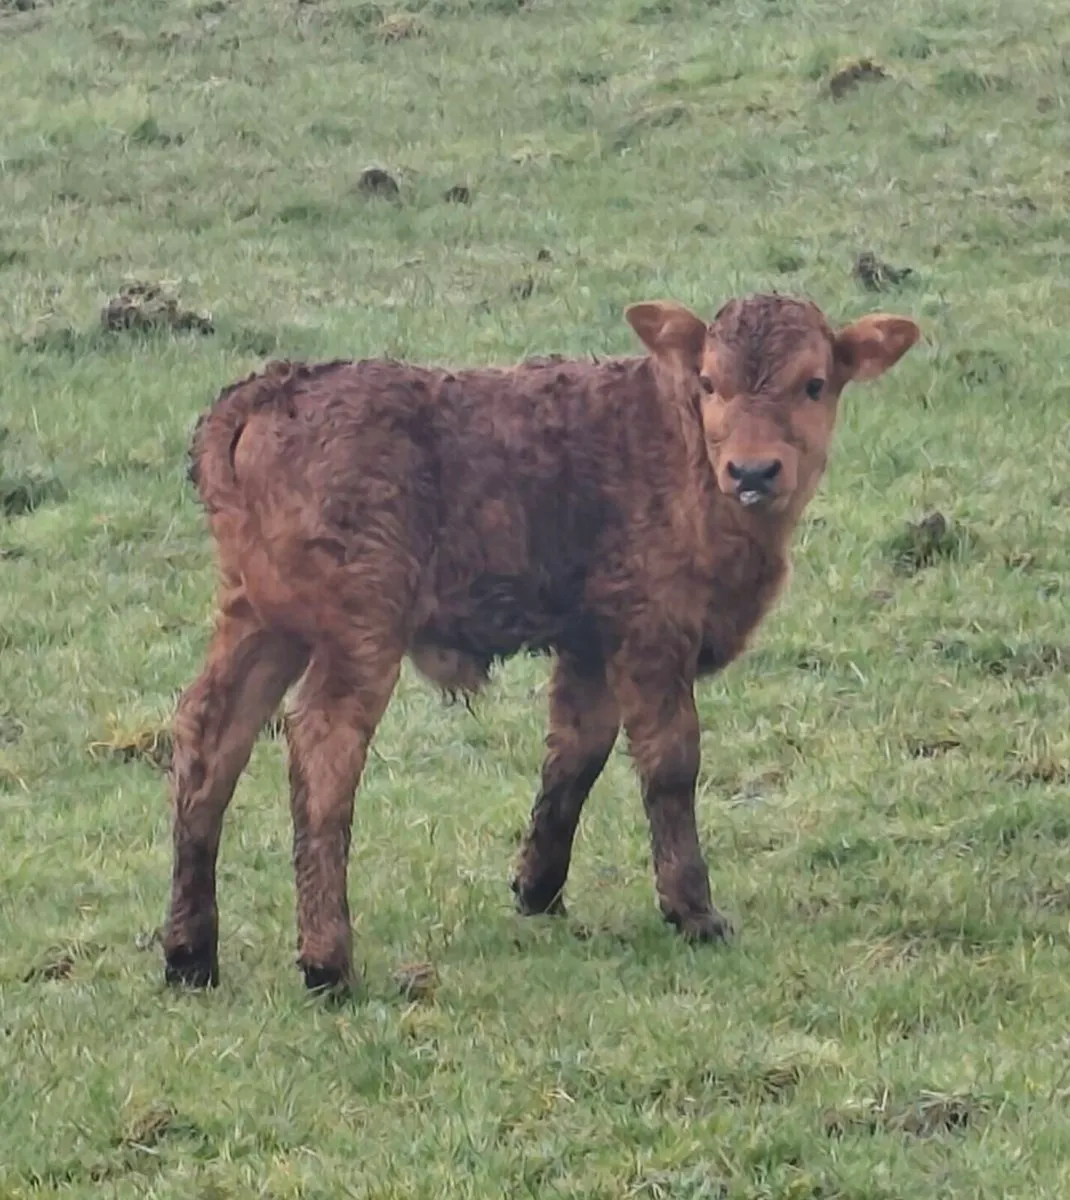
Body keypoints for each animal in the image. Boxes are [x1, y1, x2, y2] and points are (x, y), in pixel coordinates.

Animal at [162, 292, 920, 993]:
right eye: (709, 382)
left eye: (813, 383)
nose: (754, 472)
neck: (675, 448)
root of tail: (269, 393)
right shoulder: (653, 634)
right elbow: (671, 764)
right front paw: (694, 911)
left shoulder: (590, 645)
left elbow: (574, 757)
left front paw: (538, 890)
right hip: (358, 632)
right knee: (323, 749)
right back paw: (327, 964)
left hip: (261, 621)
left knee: (210, 738)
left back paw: (190, 955)